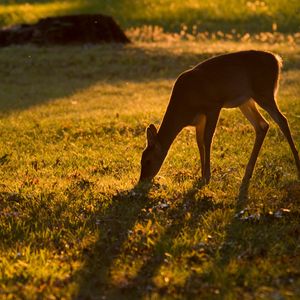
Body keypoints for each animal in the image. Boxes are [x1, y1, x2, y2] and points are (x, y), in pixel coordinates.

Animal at [139, 49, 300, 190]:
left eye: (147, 161)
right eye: (141, 160)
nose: (142, 181)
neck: (185, 108)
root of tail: (277, 60)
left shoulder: (213, 106)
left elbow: (207, 139)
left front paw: (207, 176)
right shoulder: (199, 120)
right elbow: (199, 142)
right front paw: (201, 175)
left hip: (264, 92)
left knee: (282, 120)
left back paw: (297, 166)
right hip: (246, 100)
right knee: (262, 125)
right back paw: (247, 174)